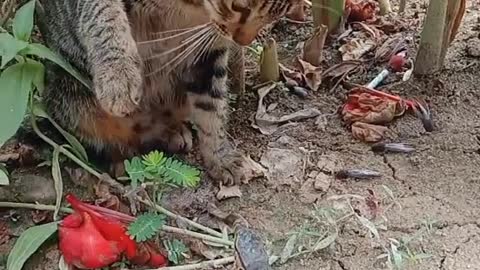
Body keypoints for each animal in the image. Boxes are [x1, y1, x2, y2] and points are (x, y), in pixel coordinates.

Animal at [36, 0, 300, 185]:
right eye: (238, 7)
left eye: (280, 13)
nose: (243, 41)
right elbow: (102, 14)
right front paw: (118, 72)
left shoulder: (208, 52)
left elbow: (213, 108)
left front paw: (220, 156)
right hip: (70, 98)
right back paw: (123, 160)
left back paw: (171, 132)